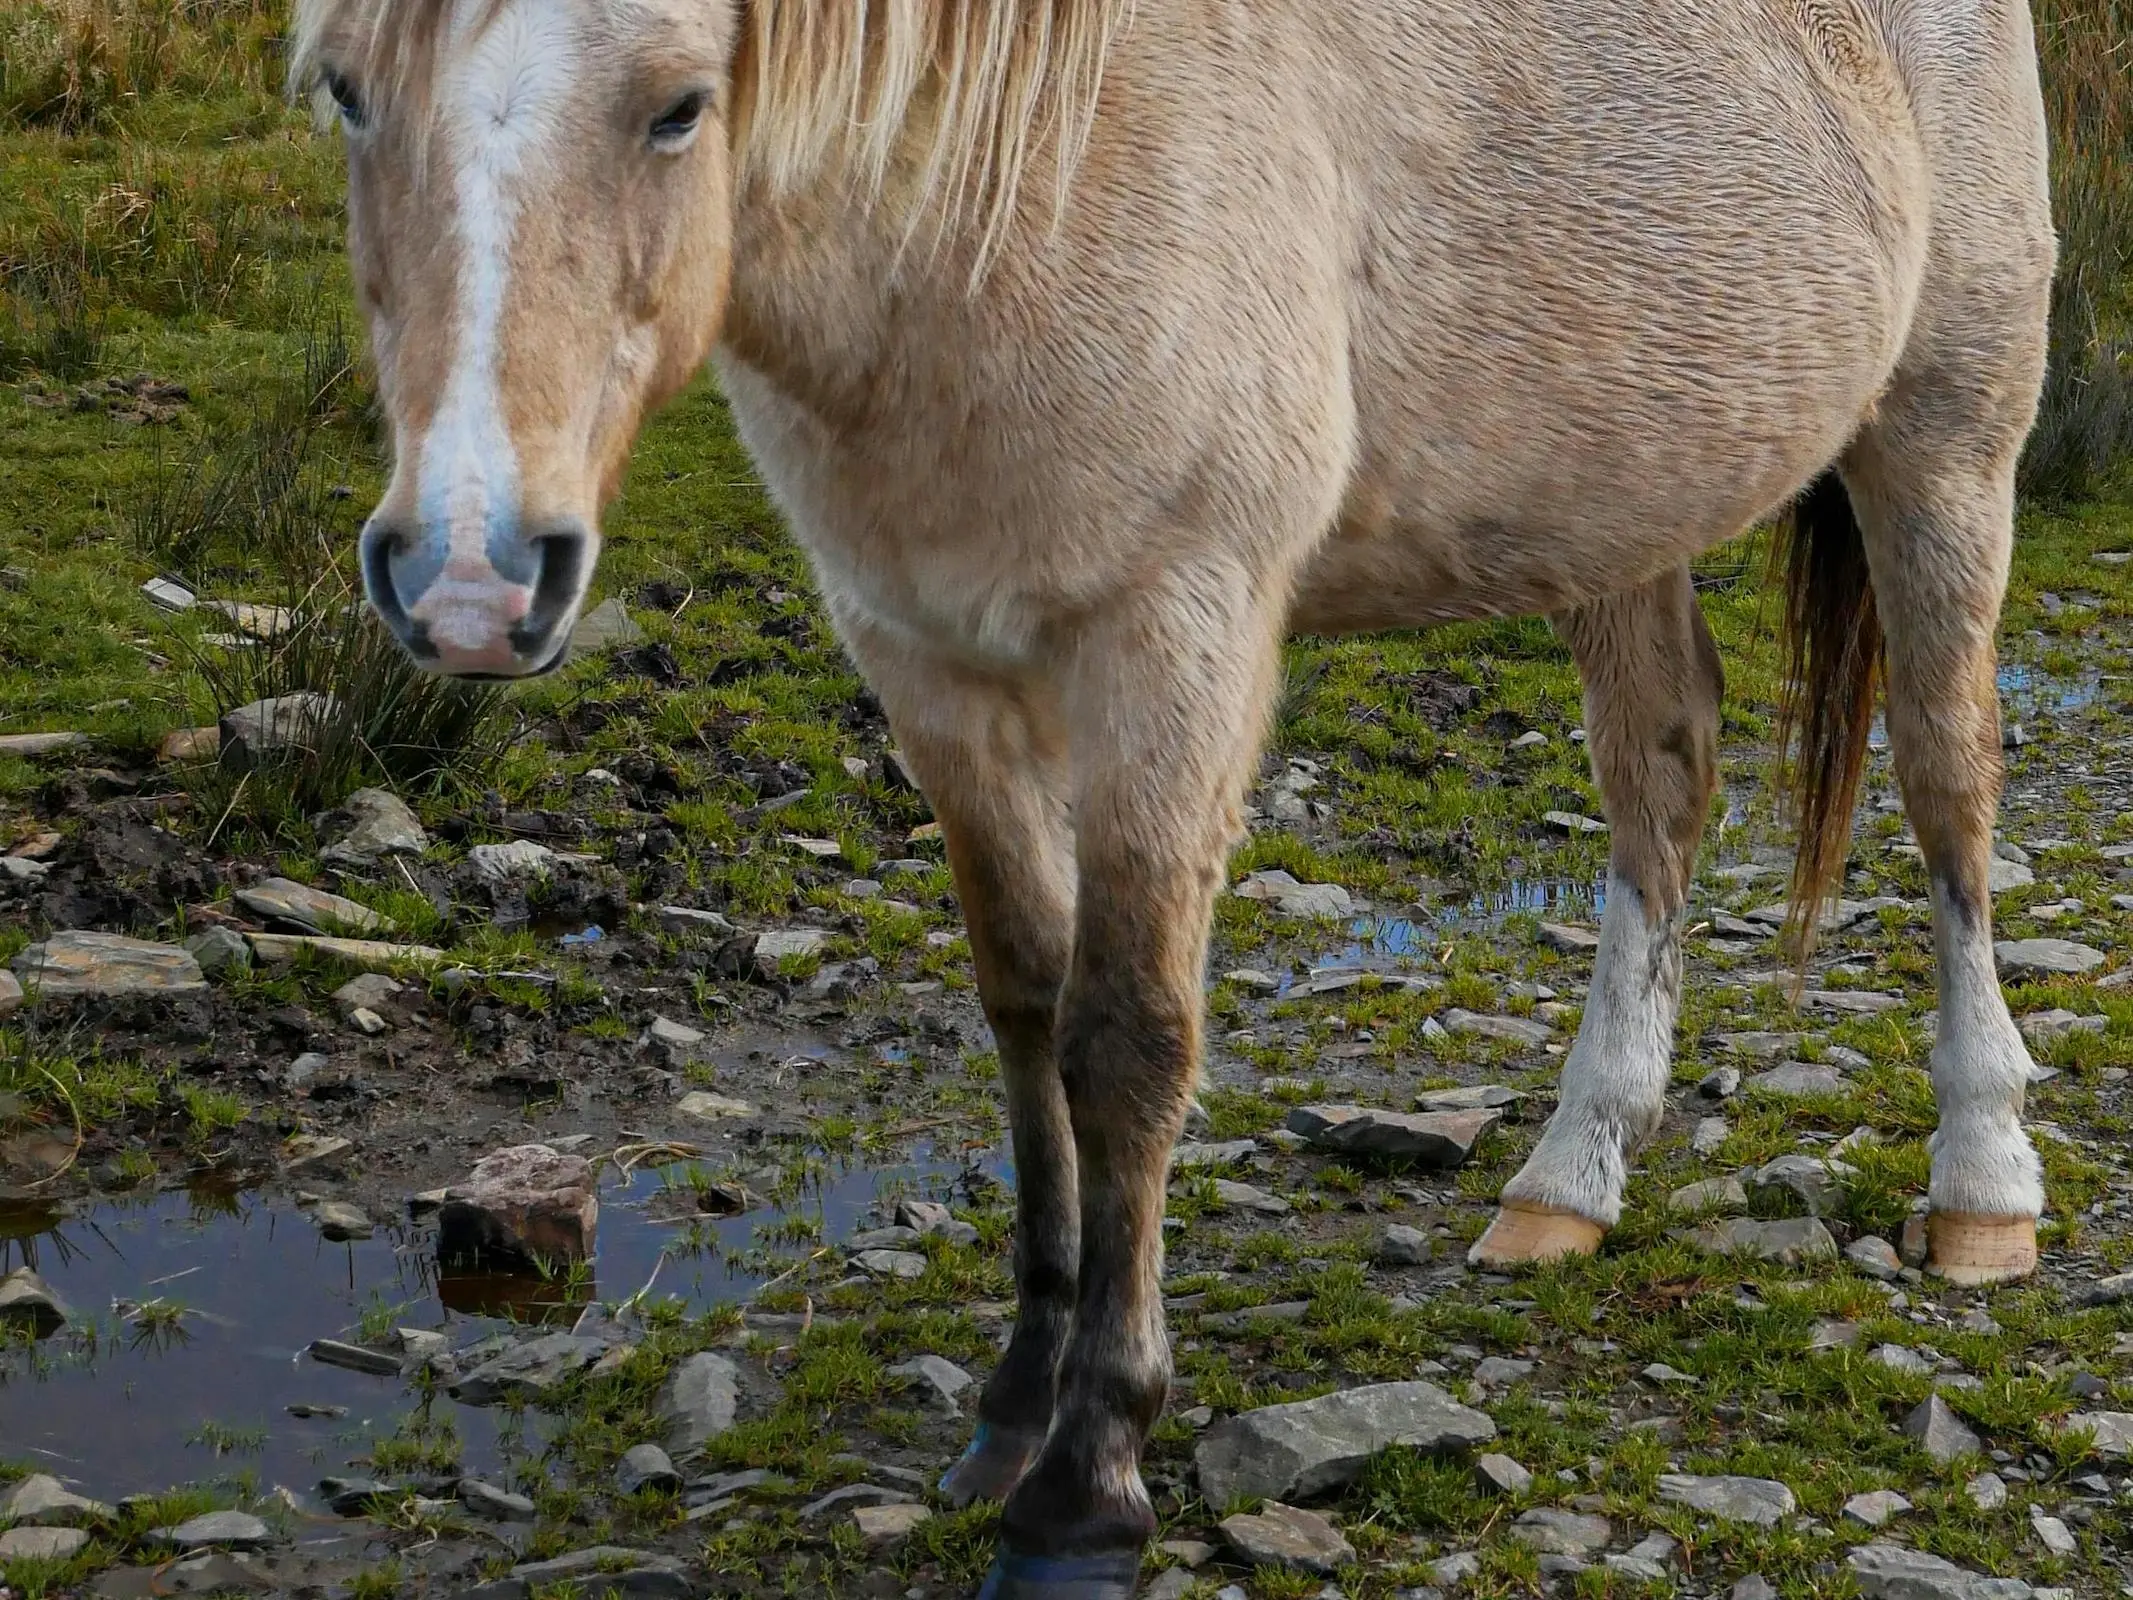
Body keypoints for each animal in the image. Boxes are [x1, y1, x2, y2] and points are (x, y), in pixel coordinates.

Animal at [292, 3, 2056, 1595]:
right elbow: (1023, 1008)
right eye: (345, 92)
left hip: (1944, 448)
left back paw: (1980, 1188)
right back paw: (1570, 1176)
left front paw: (1088, 1481)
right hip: (1620, 506)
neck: (1013, 190)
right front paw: (1012, 1409)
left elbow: (1127, 1041)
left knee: (1947, 783)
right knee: (1661, 786)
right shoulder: (926, 664)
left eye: (677, 106)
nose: (467, 578)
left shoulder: (1173, 641)